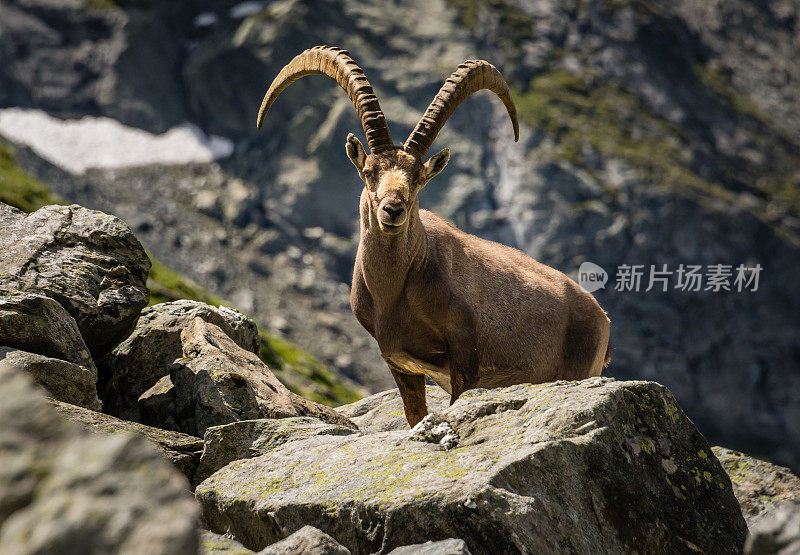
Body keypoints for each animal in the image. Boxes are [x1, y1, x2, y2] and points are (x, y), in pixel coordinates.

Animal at [260, 46, 608, 426]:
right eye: (368, 171)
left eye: (419, 178)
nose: (392, 210)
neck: (395, 291)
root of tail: (600, 316)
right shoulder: (400, 363)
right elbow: (415, 416)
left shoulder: (466, 359)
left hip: (577, 372)